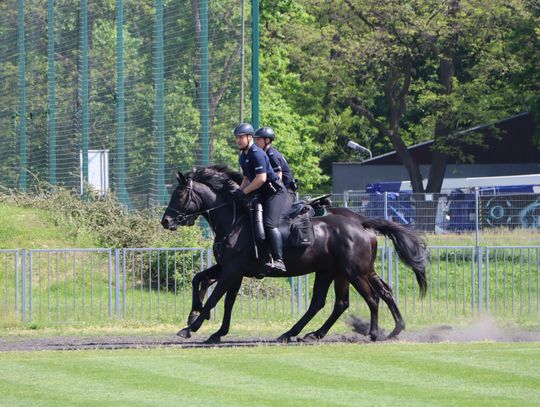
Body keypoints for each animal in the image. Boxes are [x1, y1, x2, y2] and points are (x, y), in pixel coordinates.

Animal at [160, 166, 426, 344]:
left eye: (180, 195)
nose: (166, 221)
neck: (235, 221)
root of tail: (360, 224)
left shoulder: (232, 270)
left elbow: (216, 298)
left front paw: (192, 326)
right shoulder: (229, 269)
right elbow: (206, 285)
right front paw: (207, 323)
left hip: (355, 272)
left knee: (371, 298)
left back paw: (372, 333)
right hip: (335, 272)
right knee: (336, 302)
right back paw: (303, 333)